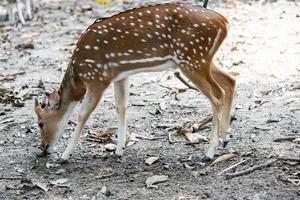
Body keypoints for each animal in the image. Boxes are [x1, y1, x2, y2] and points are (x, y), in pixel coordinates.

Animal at [34, 2, 236, 163]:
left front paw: (64, 156)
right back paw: (225, 138)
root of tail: (224, 22)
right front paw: (118, 150)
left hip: (191, 58)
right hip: (201, 59)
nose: (43, 149)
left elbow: (83, 114)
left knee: (217, 95)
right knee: (230, 80)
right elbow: (121, 106)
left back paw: (209, 153)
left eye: (40, 123)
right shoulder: (120, 75)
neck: (78, 75)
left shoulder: (98, 78)